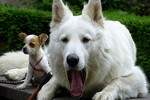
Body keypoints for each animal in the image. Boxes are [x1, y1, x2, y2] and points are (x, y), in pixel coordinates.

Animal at [0, 0, 148, 99]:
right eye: (65, 40)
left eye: (86, 40)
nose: (72, 60)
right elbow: (53, 80)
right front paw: (45, 90)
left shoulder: (138, 78)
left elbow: (117, 81)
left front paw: (104, 93)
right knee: (34, 66)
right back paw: (15, 73)